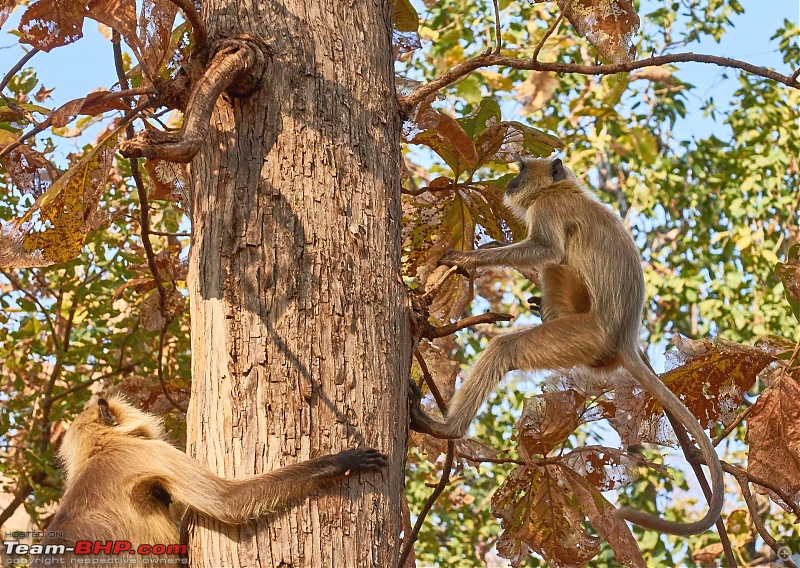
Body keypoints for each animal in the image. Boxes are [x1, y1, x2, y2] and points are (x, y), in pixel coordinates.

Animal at [410, 156, 728, 536]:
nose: (511, 182)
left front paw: (468, 258)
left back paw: (446, 428)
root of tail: (624, 339)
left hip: (583, 335)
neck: (563, 188)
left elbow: (547, 250)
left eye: (521, 169)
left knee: (517, 328)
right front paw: (486, 250)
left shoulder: (549, 206)